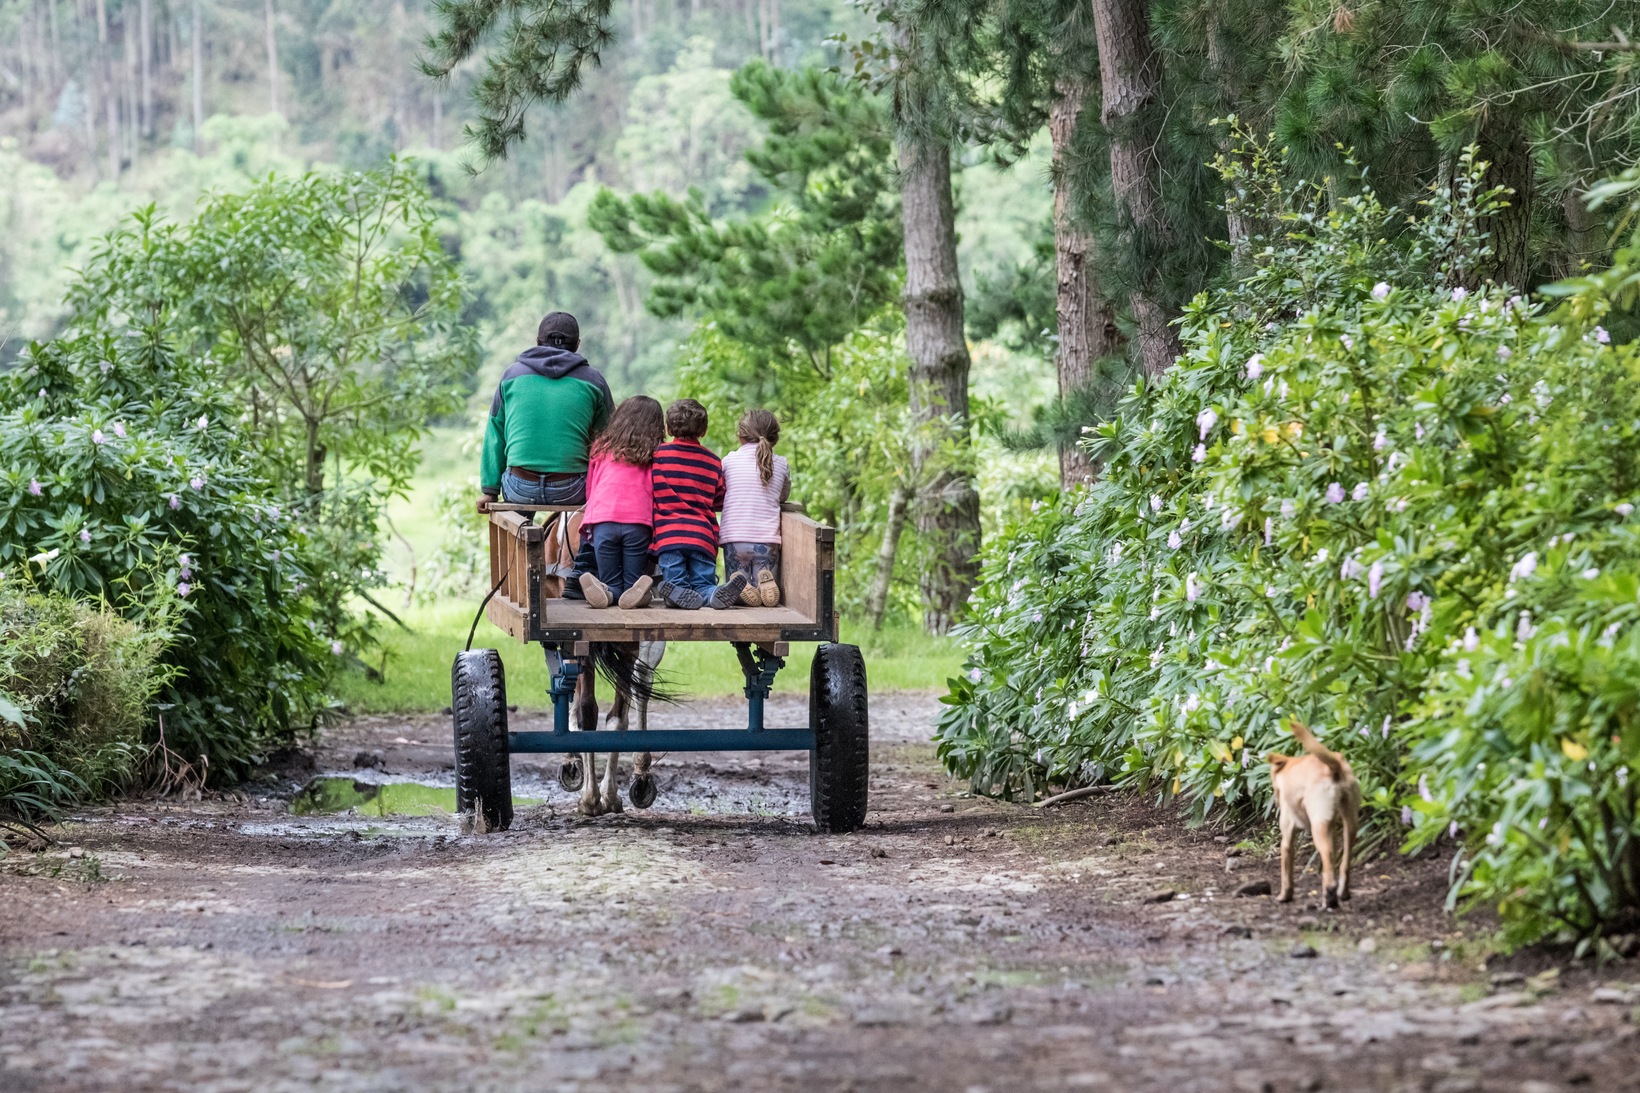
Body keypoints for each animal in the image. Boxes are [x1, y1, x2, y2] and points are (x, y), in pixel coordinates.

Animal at [1266, 718, 1357, 905]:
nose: (1276, 801)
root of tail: (1333, 767)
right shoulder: (1332, 828)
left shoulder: (1287, 834)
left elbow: (1286, 870)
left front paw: (1284, 895)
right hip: (1350, 824)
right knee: (1343, 861)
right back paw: (1342, 892)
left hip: (1318, 826)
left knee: (1326, 856)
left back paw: (1329, 894)